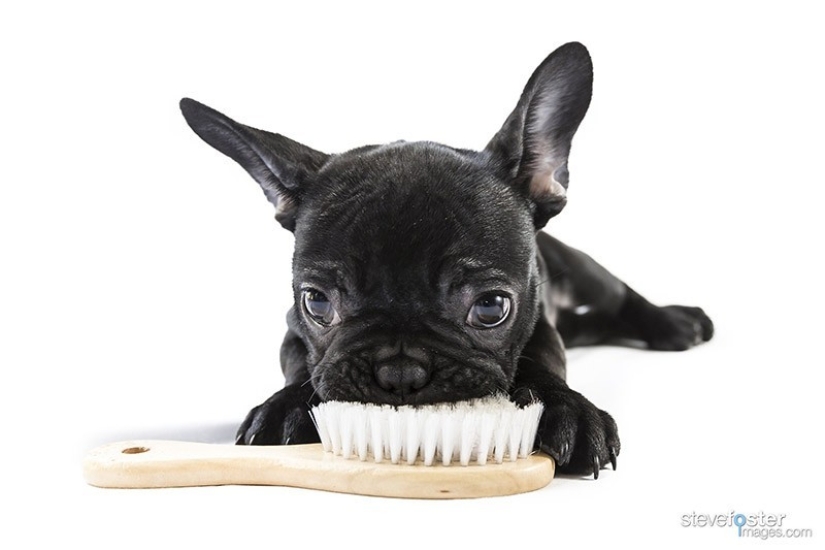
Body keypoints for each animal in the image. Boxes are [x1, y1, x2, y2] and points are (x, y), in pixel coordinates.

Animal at [179, 41, 708, 478]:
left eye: (491, 307)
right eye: (317, 303)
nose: (400, 372)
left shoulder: (539, 323)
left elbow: (542, 359)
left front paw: (567, 410)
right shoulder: (292, 329)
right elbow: (301, 364)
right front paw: (286, 406)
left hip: (583, 272)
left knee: (621, 295)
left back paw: (675, 322)